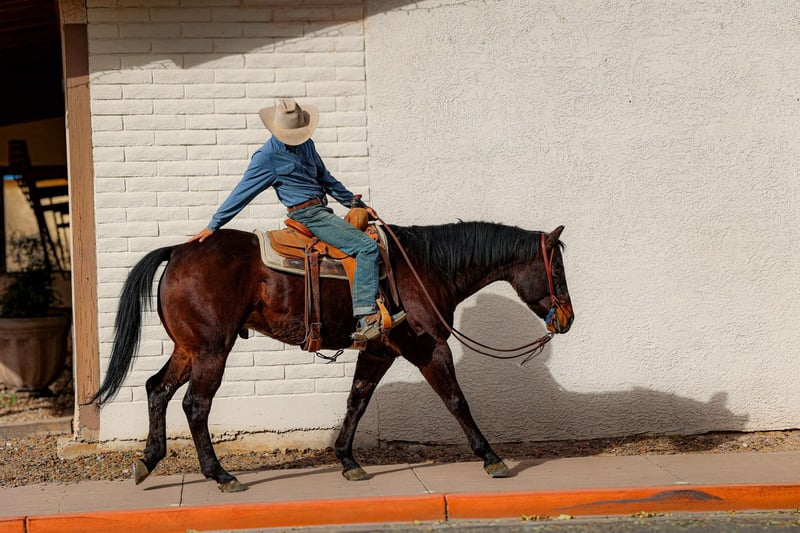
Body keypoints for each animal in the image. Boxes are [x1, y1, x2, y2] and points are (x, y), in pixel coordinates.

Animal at [91, 220, 574, 492]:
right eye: (557, 268)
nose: (568, 318)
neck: (423, 266)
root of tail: (178, 250)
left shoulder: (379, 351)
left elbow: (357, 401)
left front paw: (347, 460)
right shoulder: (428, 348)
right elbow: (457, 400)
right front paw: (491, 457)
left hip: (188, 348)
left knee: (158, 389)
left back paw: (149, 460)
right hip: (212, 350)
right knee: (195, 404)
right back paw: (221, 475)